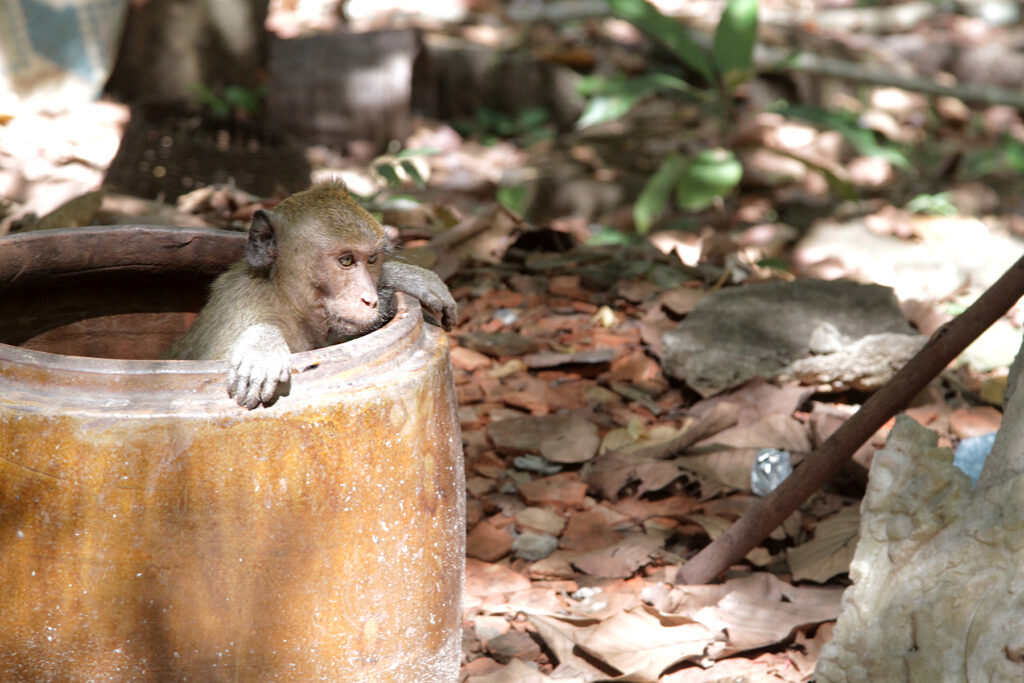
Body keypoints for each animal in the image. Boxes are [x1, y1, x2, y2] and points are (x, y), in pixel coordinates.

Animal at [163, 179, 456, 409]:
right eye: (346, 260)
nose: (369, 299)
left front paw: (404, 276)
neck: (285, 299)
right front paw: (262, 343)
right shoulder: (244, 309)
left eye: (372, 259)